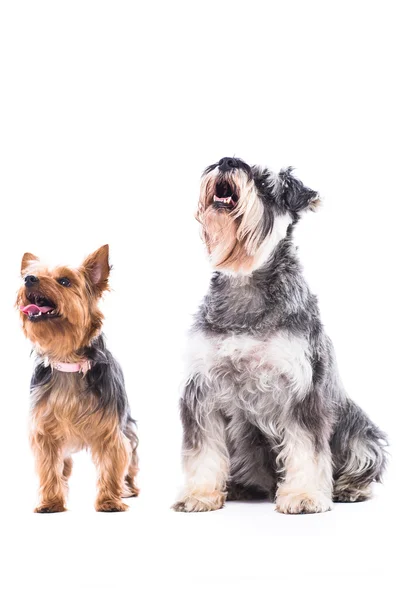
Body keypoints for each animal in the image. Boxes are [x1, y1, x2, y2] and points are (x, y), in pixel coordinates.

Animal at [16, 246, 139, 512]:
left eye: (64, 281)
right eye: (31, 275)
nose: (28, 279)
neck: (68, 361)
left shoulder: (111, 430)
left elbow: (112, 463)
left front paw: (109, 501)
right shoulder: (45, 432)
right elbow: (49, 468)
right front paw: (51, 502)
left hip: (128, 428)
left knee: (131, 460)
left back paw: (129, 489)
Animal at [173, 157, 388, 512]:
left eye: (264, 182)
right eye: (226, 160)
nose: (227, 161)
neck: (245, 281)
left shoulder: (302, 392)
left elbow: (306, 449)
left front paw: (303, 495)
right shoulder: (204, 390)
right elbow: (203, 449)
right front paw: (199, 493)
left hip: (359, 432)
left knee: (363, 461)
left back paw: (349, 488)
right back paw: (242, 487)